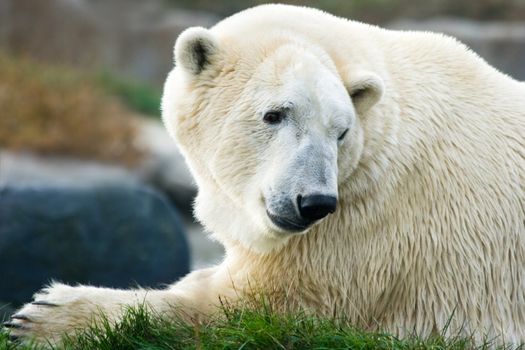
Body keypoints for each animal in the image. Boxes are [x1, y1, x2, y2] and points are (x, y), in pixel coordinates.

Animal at [5, 3, 524, 348]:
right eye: (275, 114)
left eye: (340, 132)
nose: (313, 202)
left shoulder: (363, 235)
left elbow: (248, 307)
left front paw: (43, 316)